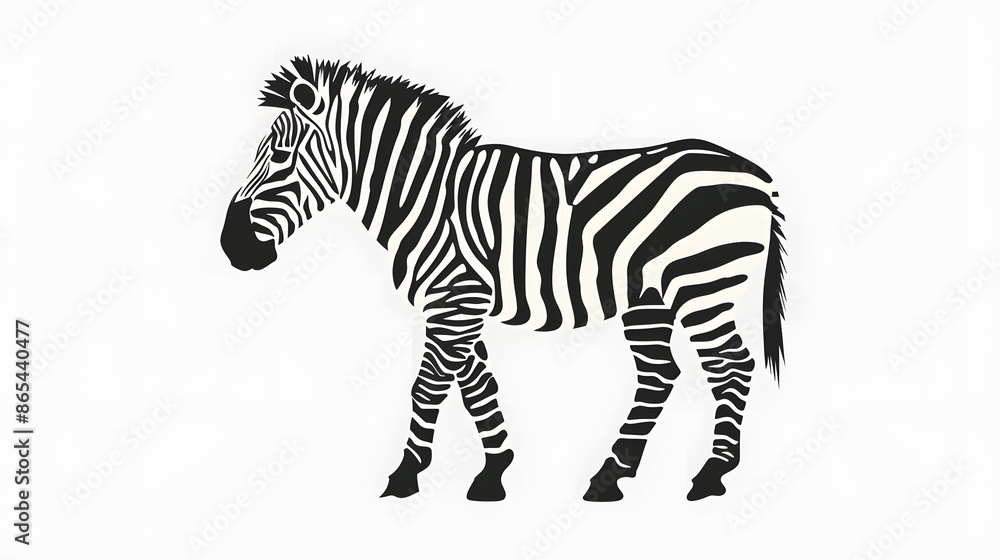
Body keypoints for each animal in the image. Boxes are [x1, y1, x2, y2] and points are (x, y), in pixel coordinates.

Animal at [220, 57, 787, 502]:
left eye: (279, 157)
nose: (231, 246)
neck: (427, 198)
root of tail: (755, 173)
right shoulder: (457, 303)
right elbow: (476, 383)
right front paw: (495, 472)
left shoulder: (456, 299)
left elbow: (428, 385)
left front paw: (405, 475)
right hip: (649, 297)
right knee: (659, 373)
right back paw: (610, 477)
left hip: (702, 283)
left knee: (730, 366)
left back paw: (712, 474)